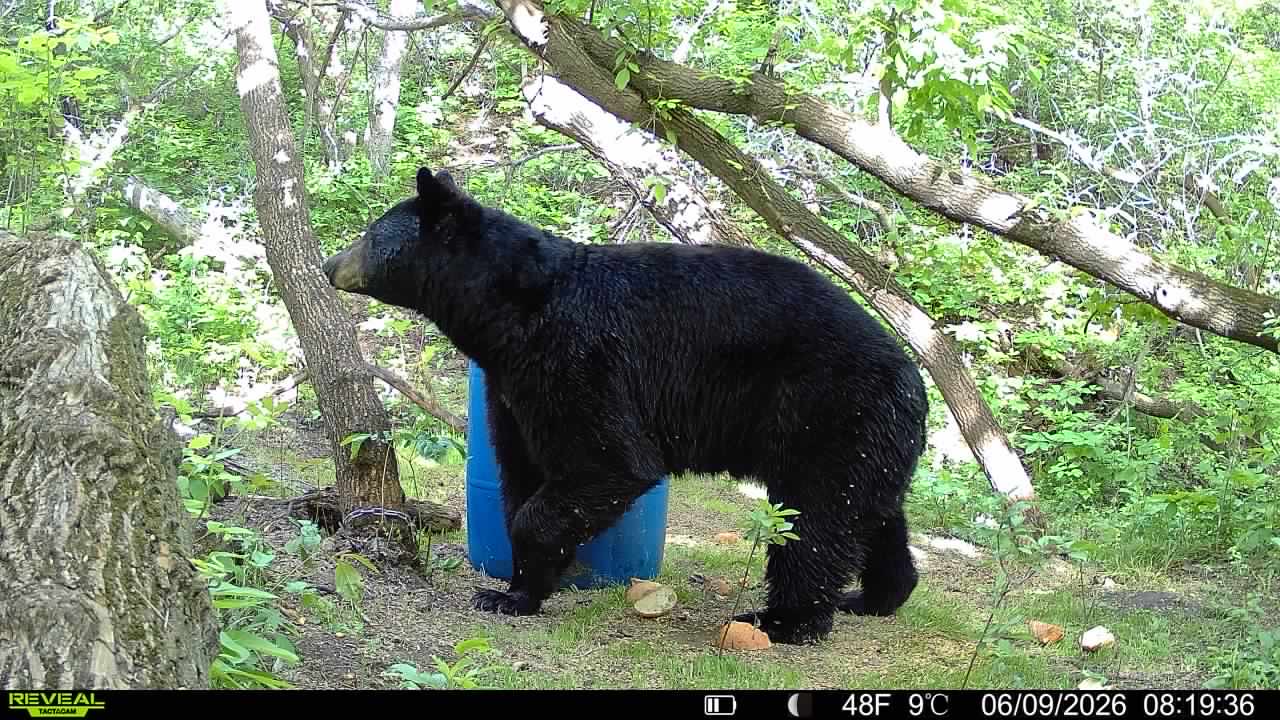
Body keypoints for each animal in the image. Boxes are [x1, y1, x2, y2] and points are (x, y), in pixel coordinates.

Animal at [322, 167, 929, 645]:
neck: (511, 312)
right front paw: (518, 588)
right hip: (865, 438)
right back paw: (876, 596)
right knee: (871, 516)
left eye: (370, 234)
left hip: (824, 410)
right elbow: (520, 469)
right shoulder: (510, 385)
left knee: (816, 520)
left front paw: (516, 588)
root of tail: (911, 376)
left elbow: (608, 461)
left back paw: (784, 619)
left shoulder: (577, 359)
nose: (328, 264)